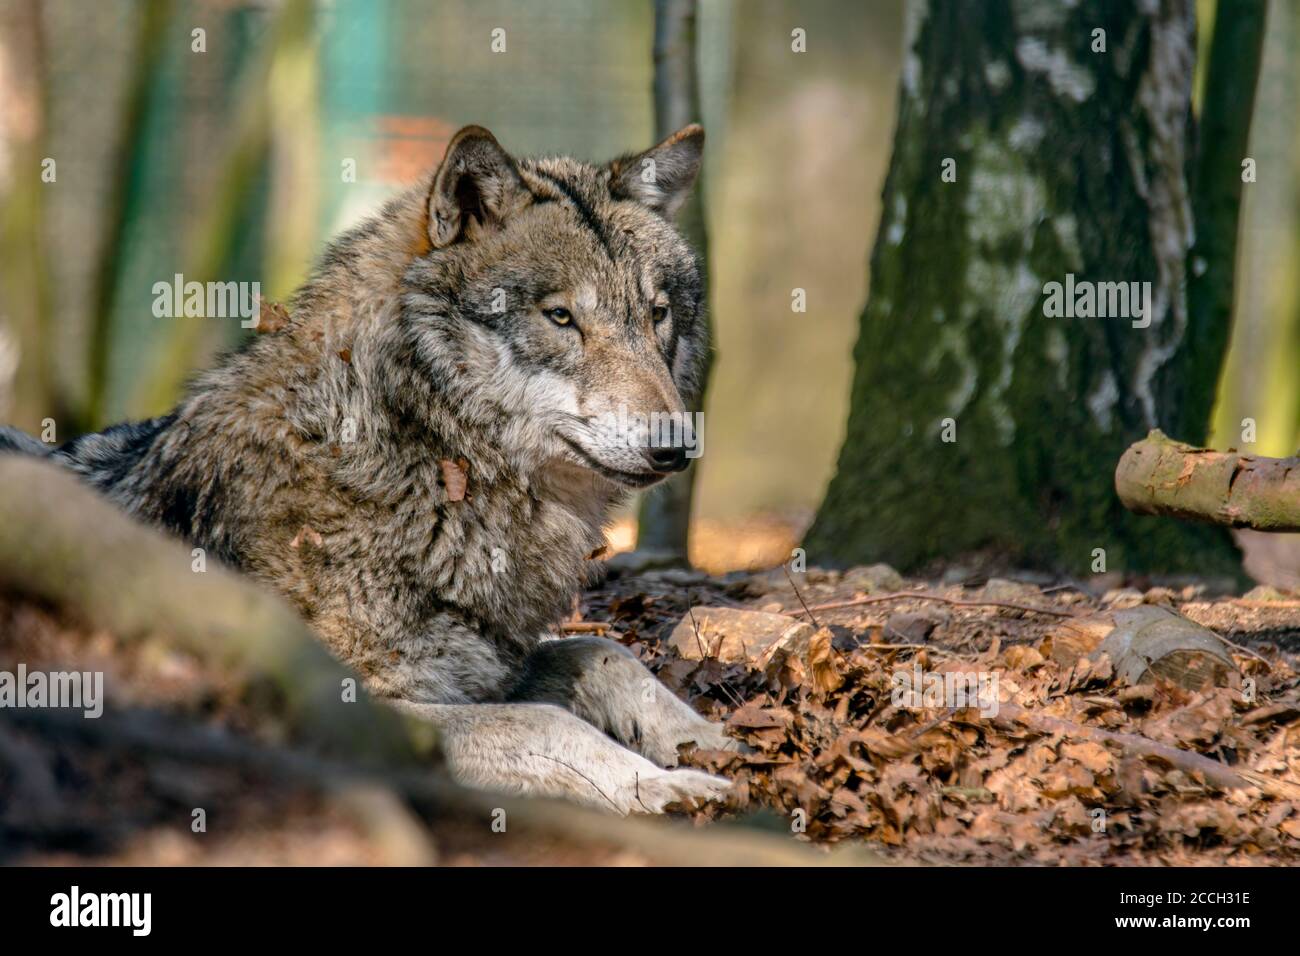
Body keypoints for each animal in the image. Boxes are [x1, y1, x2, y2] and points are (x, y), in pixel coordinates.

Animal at [0, 124, 734, 813]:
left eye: (657, 315)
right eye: (560, 317)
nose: (676, 446)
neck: (418, 454)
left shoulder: (482, 664)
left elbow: (607, 655)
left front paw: (717, 742)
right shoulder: (369, 704)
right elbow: (545, 722)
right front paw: (664, 786)